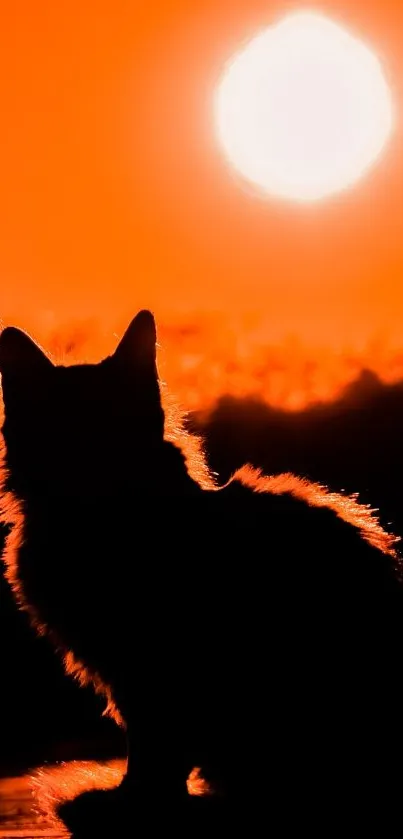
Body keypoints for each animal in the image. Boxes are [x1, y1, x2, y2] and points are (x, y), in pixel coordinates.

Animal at [0, 310, 403, 832]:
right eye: (59, 428)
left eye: (109, 424)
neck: (101, 516)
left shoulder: (155, 671)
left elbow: (155, 750)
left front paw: (138, 804)